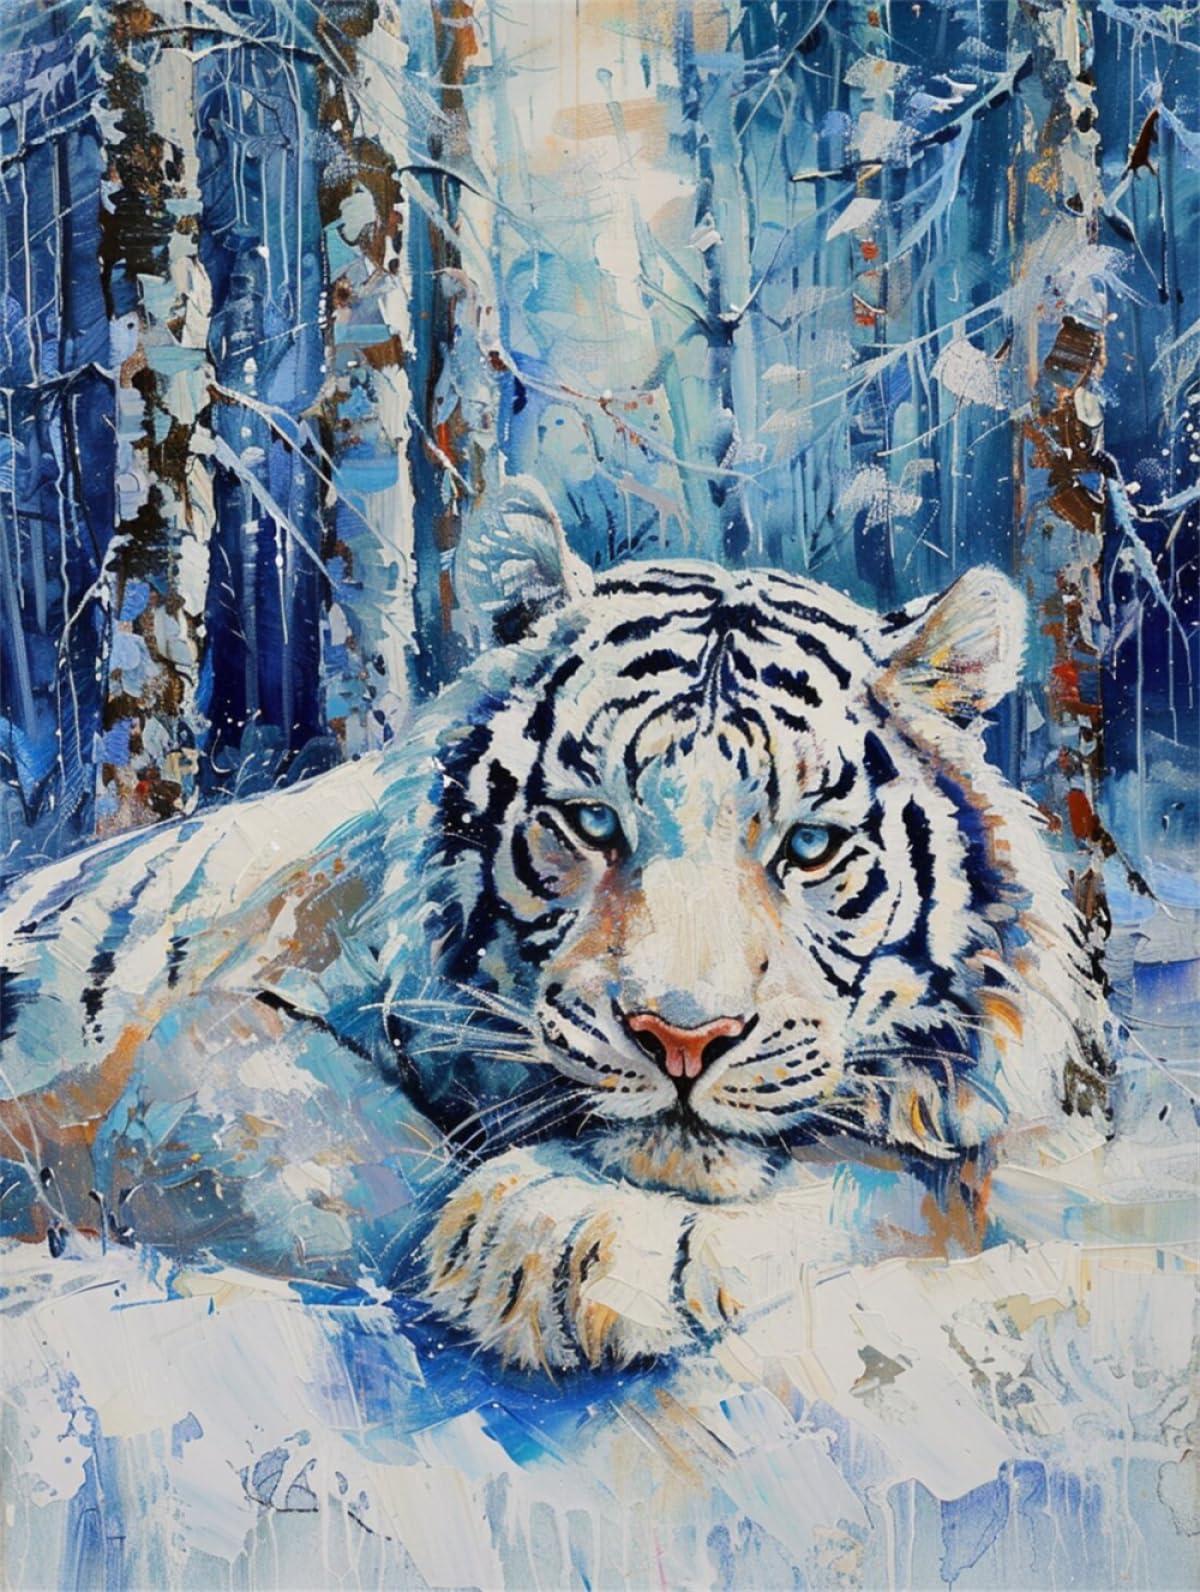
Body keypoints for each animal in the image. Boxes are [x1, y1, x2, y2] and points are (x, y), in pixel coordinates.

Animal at [0, 478, 1113, 1372]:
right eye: (594, 820)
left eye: (807, 845)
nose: (683, 1037)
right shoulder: (188, 1051)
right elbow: (330, 1151)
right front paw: (528, 1242)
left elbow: (922, 1174)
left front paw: (585, 1236)